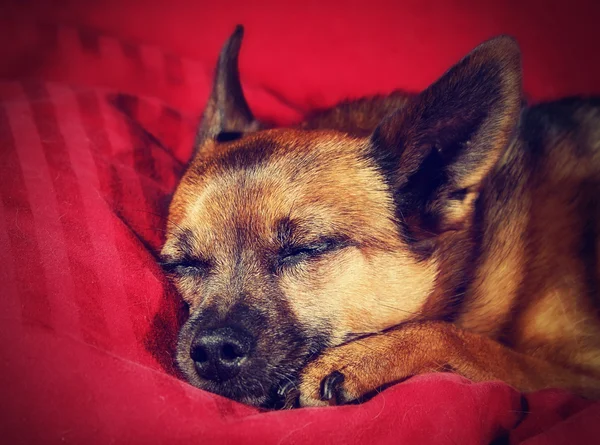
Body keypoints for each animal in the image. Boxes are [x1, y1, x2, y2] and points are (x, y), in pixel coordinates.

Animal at [158, 24, 600, 406]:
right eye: (183, 264)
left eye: (308, 249)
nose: (213, 350)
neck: (474, 248)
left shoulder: (581, 374)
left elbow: (462, 339)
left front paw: (360, 360)